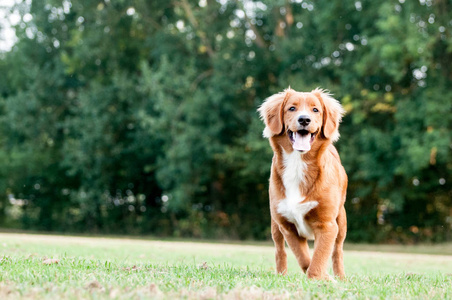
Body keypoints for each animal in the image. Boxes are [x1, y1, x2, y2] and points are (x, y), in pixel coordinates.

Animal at [258, 88, 346, 280]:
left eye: (315, 110)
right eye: (292, 108)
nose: (304, 119)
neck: (297, 163)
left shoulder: (327, 224)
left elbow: (319, 255)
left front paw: (321, 277)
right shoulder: (287, 225)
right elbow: (304, 258)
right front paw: (320, 276)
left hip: (341, 220)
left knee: (337, 251)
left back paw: (340, 276)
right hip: (275, 225)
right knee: (280, 251)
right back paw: (281, 273)